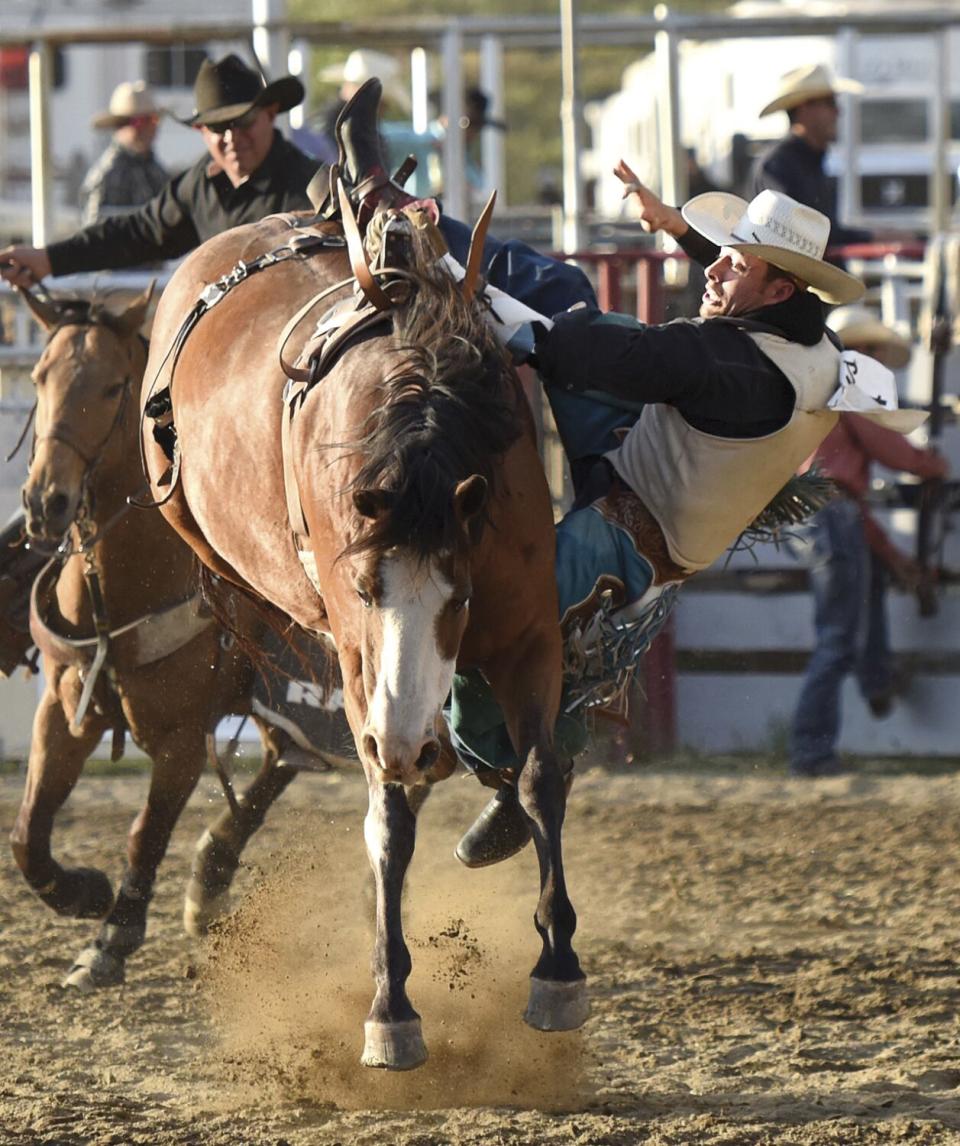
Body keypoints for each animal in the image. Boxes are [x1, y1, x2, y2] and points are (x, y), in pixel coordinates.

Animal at [10, 288, 316, 994]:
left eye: (112, 385)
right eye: (38, 378)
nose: (45, 502)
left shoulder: (181, 739)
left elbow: (144, 833)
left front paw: (111, 938)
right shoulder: (64, 712)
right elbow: (29, 832)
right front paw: (82, 892)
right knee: (283, 757)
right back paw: (209, 880)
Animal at [140, 208, 586, 1072]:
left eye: (461, 594)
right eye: (361, 589)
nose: (407, 744)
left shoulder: (529, 638)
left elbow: (541, 779)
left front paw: (558, 969)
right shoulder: (356, 670)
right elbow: (389, 824)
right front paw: (391, 1008)